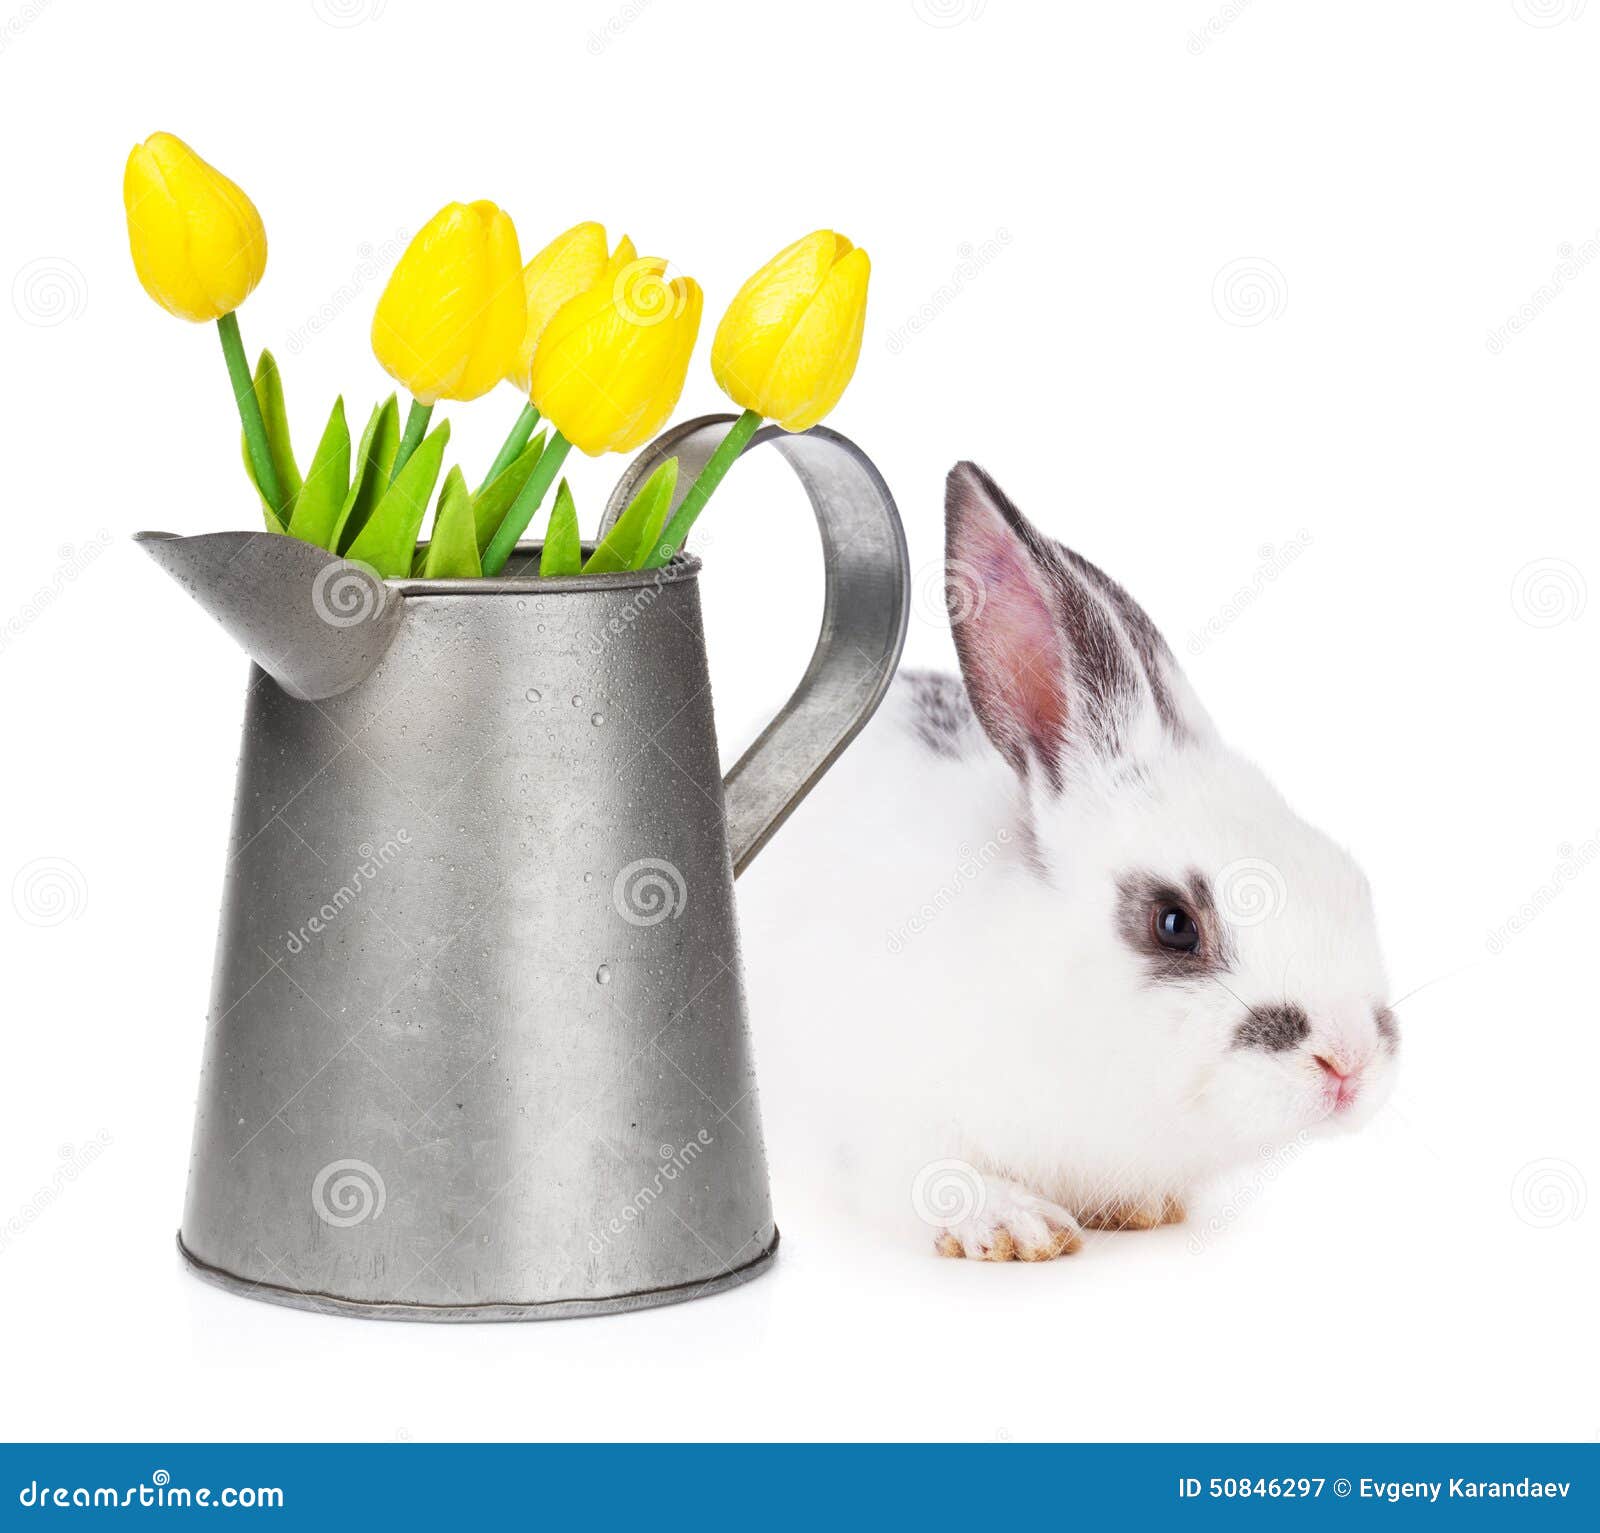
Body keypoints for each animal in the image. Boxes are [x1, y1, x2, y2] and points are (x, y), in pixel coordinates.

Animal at [735, 461, 1397, 1261]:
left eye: (1350, 878)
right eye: (1174, 923)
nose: (1350, 1062)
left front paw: (1141, 1209)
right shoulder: (878, 1122)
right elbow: (934, 1176)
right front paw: (1016, 1226)